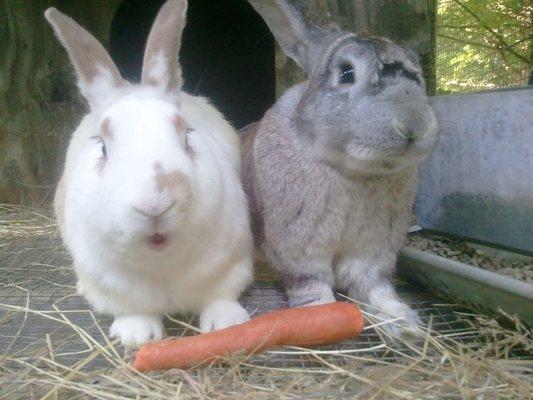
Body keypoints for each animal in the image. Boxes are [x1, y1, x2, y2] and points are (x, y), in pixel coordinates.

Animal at [46, 0, 252, 344]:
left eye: (187, 135)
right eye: (102, 147)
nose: (154, 204)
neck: (160, 262)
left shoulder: (232, 263)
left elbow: (220, 296)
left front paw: (227, 323)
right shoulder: (111, 286)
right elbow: (133, 310)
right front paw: (137, 336)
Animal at [243, 0, 438, 334]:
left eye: (419, 76)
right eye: (346, 72)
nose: (414, 127)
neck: (353, 172)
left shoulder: (374, 250)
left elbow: (375, 285)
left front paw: (403, 322)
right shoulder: (300, 249)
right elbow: (312, 283)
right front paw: (318, 314)